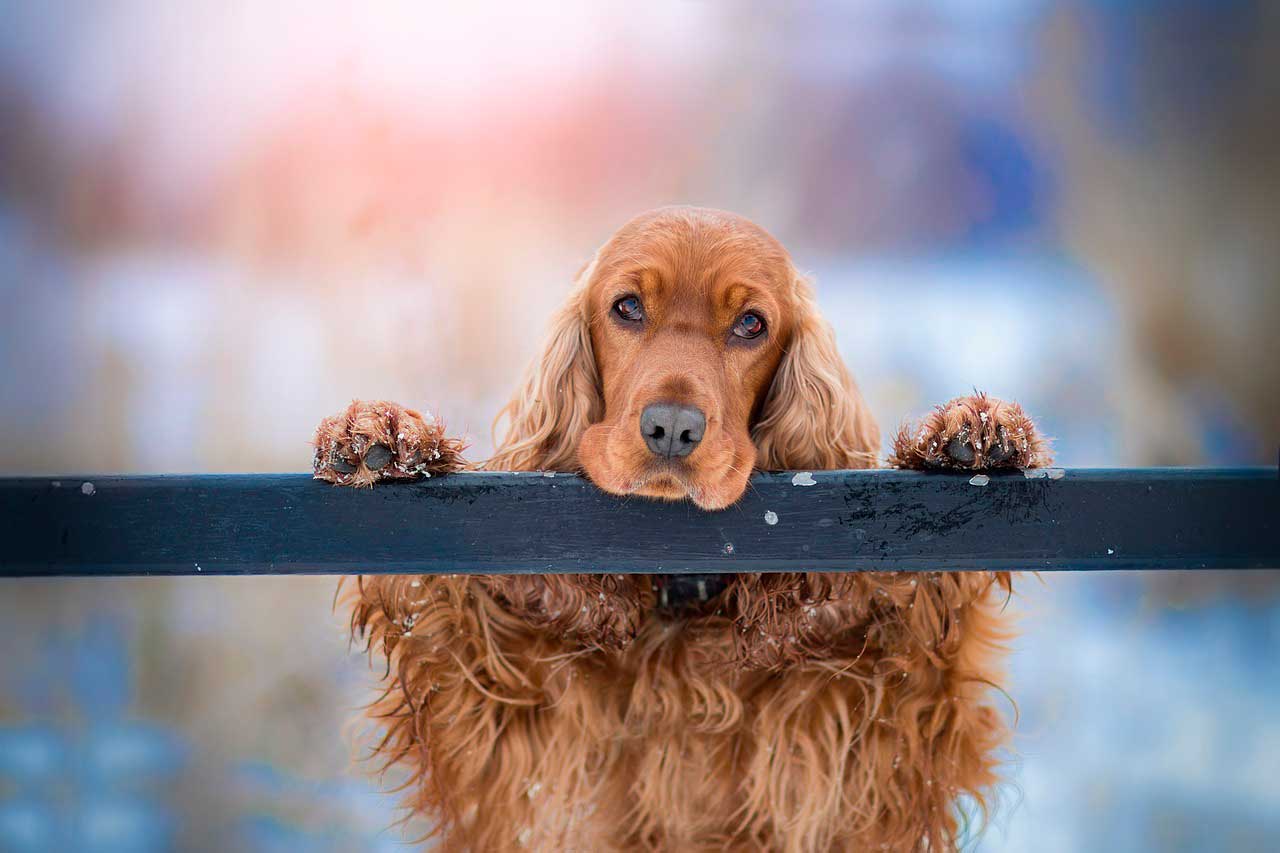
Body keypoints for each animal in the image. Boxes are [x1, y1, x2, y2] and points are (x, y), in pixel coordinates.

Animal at [312, 207, 1049, 850]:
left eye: (751, 323)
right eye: (627, 307)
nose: (671, 427)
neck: (679, 599)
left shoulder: (868, 743)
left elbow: (926, 643)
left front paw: (966, 433)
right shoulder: (505, 736)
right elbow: (444, 616)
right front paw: (384, 436)